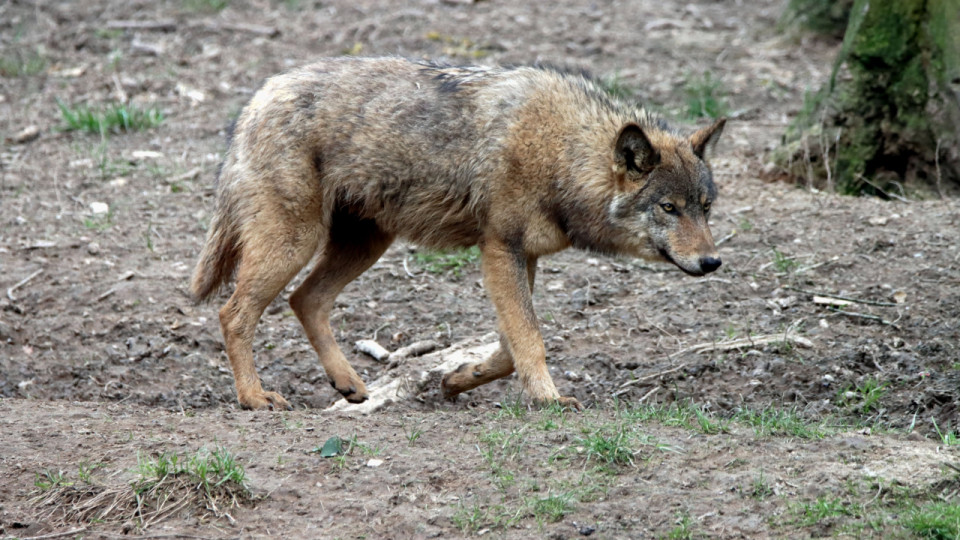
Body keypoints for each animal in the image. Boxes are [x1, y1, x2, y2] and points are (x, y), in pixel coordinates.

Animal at [191, 56, 725, 411]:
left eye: (705, 208)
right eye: (668, 208)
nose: (712, 262)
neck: (560, 153)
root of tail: (257, 97)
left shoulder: (523, 257)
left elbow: (510, 347)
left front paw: (458, 379)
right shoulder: (500, 250)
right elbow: (530, 338)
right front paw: (550, 400)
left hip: (365, 245)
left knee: (305, 300)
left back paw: (349, 385)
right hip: (296, 243)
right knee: (233, 313)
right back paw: (254, 397)